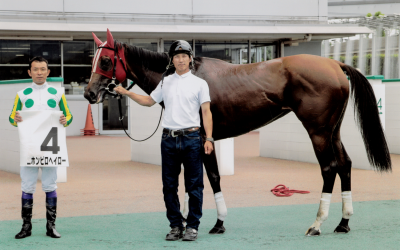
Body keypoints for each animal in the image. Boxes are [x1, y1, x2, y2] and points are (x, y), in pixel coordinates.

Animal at [84, 29, 390, 236]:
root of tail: (334, 64)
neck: (187, 75)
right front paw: (187, 220)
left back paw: (317, 224)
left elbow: (211, 178)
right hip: (332, 130)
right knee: (345, 164)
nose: (89, 93)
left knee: (329, 168)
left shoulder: (204, 140)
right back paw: (343, 222)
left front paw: (217, 223)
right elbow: (192, 181)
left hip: (318, 131)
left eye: (106, 61)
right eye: (93, 59)